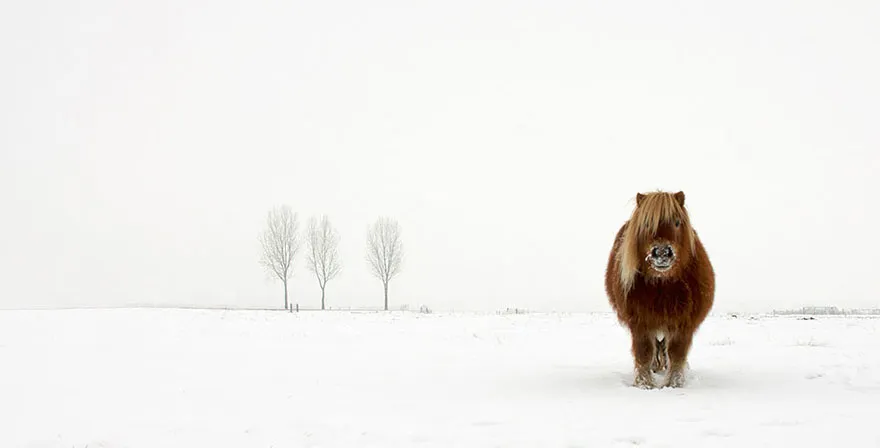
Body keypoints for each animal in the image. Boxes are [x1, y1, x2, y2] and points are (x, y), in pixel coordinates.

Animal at [604, 191, 715, 389]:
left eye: (677, 222)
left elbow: (677, 354)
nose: (662, 253)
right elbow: (644, 353)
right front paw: (644, 384)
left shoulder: (683, 324)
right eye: (647, 223)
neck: (663, 286)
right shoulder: (640, 323)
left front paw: (674, 383)